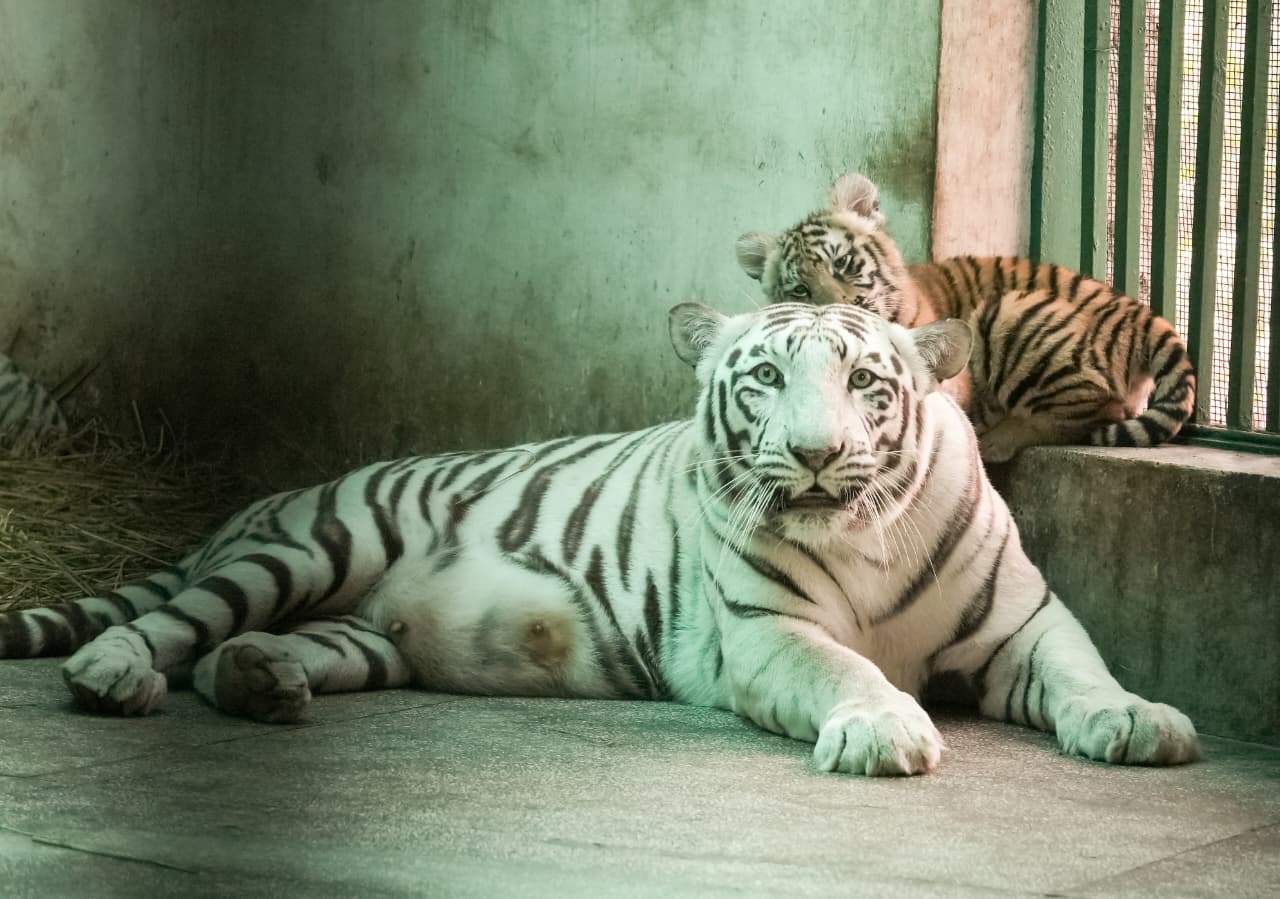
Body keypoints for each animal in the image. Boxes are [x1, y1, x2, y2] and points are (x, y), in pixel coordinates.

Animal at [0, 302, 1200, 775]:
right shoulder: (766, 634)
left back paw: (259, 683)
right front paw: (880, 729)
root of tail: (255, 505)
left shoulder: (1023, 622)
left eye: (865, 381)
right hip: (311, 547)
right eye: (765, 380)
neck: (866, 534)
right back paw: (112, 673)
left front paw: (1138, 719)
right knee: (171, 623)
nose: (815, 455)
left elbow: (1083, 668)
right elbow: (845, 667)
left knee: (228, 654)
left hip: (360, 632)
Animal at [735, 172, 1197, 462]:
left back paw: (996, 440)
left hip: (1007, 311)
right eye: (800, 290)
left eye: (843, 264)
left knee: (1096, 408)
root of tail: (1140, 312)